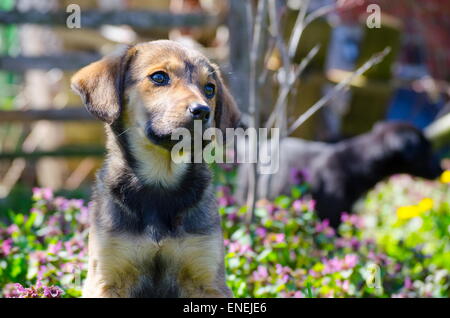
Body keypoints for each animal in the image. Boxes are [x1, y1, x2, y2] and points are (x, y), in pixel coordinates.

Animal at [71, 40, 239, 298]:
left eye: (210, 89)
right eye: (159, 77)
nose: (202, 111)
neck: (161, 181)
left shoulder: (208, 279)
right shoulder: (106, 277)